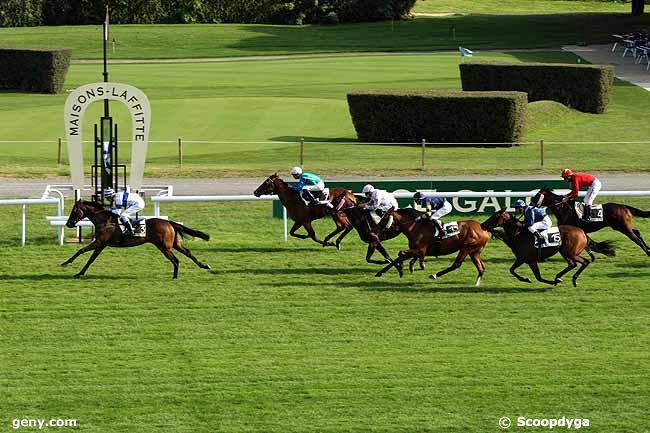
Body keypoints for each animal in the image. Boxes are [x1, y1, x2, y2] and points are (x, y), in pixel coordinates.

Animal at [59, 200, 209, 278]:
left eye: (74, 211)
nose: (68, 223)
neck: (104, 221)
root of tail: (169, 222)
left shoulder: (100, 243)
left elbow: (85, 254)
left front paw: (73, 269)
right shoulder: (100, 244)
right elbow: (86, 256)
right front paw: (73, 268)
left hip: (164, 246)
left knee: (176, 260)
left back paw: (175, 276)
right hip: (173, 243)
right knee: (188, 253)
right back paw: (204, 265)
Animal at [480, 207, 612, 286]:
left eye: (495, 216)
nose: (482, 225)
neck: (518, 234)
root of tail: (582, 232)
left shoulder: (522, 258)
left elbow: (512, 270)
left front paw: (526, 279)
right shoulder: (531, 261)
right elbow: (538, 277)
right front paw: (549, 281)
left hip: (570, 252)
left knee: (584, 262)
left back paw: (572, 279)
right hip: (565, 252)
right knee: (572, 264)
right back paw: (558, 277)